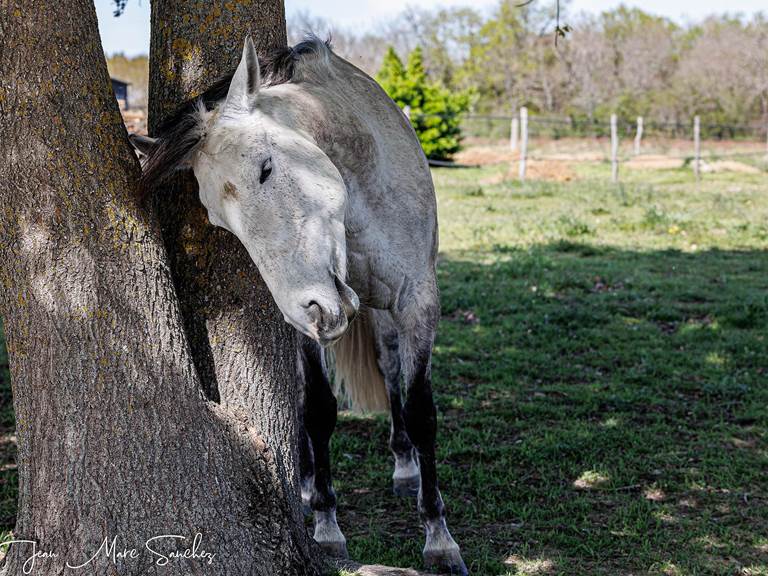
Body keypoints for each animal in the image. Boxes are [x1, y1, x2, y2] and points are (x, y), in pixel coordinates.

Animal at [132, 37, 464, 576]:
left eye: (266, 168)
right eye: (220, 221)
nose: (308, 308)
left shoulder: (418, 302)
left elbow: (419, 411)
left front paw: (439, 539)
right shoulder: (308, 327)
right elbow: (318, 408)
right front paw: (327, 527)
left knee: (390, 366)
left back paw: (404, 466)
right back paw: (308, 484)